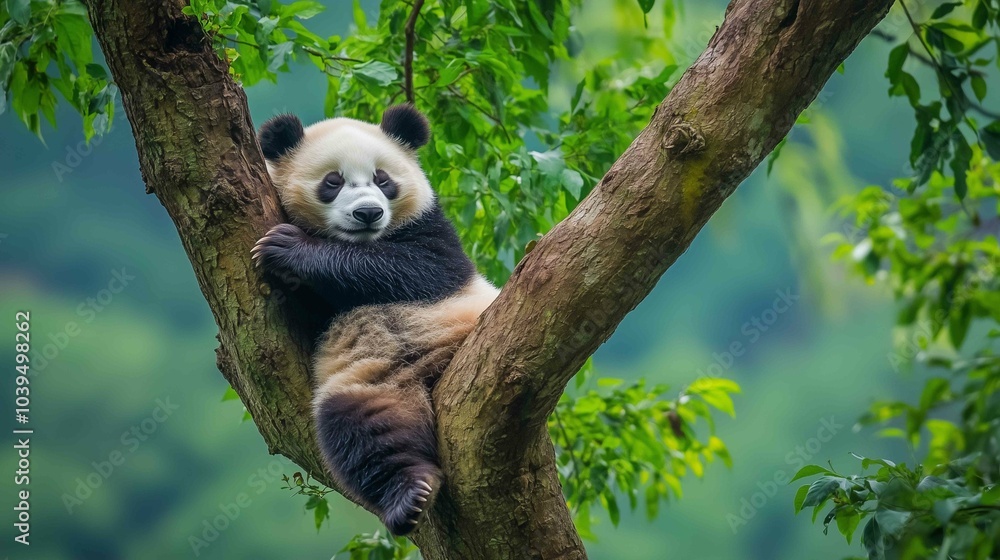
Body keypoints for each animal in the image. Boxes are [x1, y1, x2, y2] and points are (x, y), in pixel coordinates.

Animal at [251, 104, 499, 536]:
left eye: (383, 179)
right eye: (333, 182)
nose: (369, 212)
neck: (364, 241)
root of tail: (429, 378)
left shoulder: (435, 233)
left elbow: (418, 269)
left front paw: (287, 247)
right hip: (371, 378)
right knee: (362, 429)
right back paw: (409, 495)